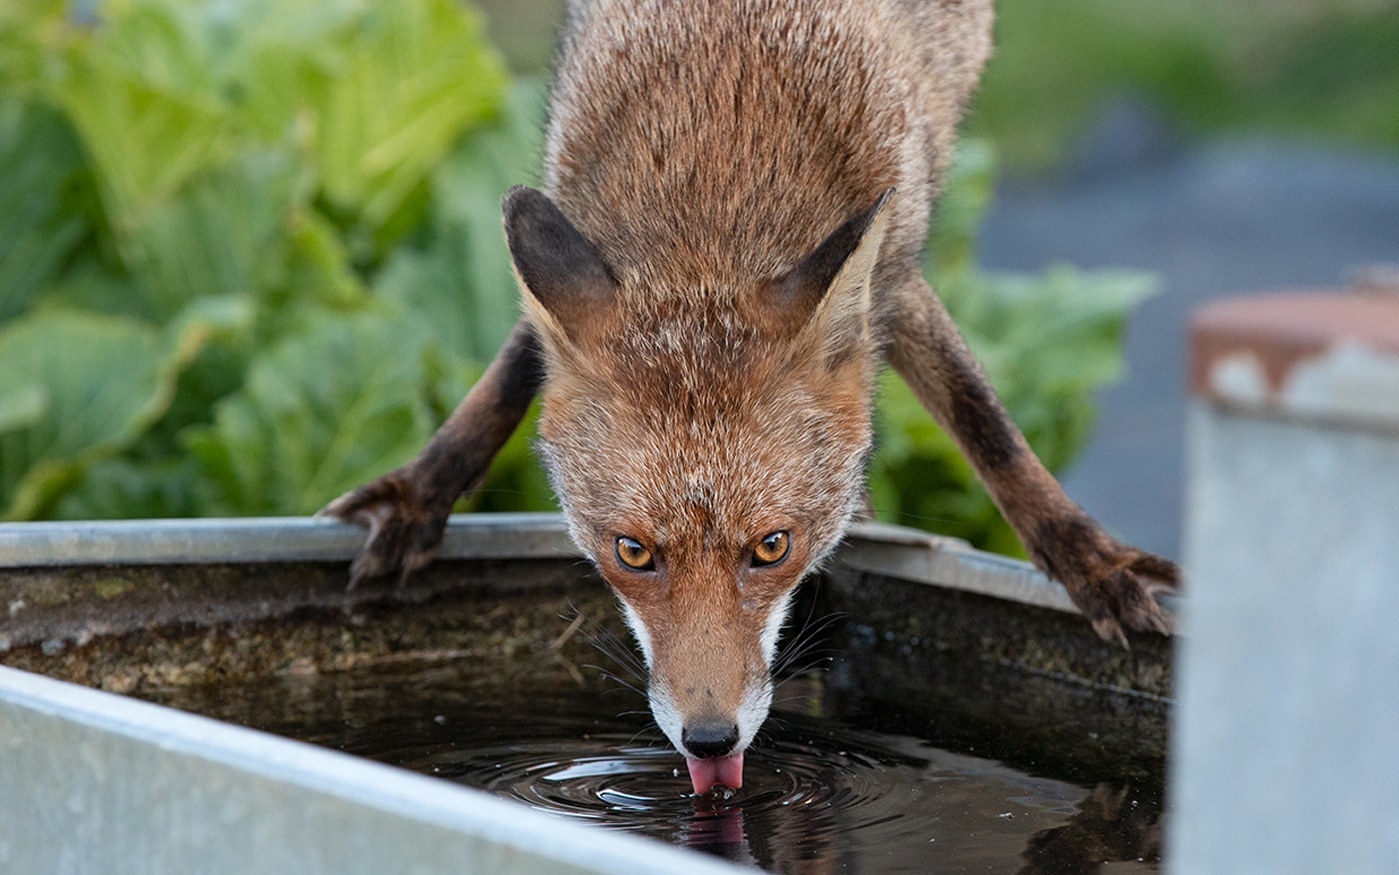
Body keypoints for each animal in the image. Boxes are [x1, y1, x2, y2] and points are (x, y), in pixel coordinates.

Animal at [324, 0, 1180, 795]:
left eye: (771, 547)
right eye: (631, 552)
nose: (709, 739)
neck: (713, 159)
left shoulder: (895, 271)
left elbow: (984, 422)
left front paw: (1093, 563)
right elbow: (507, 373)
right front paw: (416, 497)